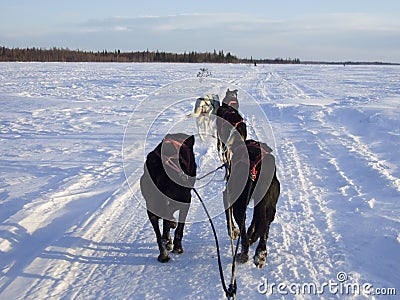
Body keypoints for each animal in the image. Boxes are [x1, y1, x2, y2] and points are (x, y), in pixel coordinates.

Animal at [141, 134, 197, 262]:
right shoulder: (185, 200)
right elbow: (179, 227)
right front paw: (176, 246)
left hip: (151, 205)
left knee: (158, 233)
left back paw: (163, 252)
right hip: (182, 198)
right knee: (169, 218)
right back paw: (171, 242)